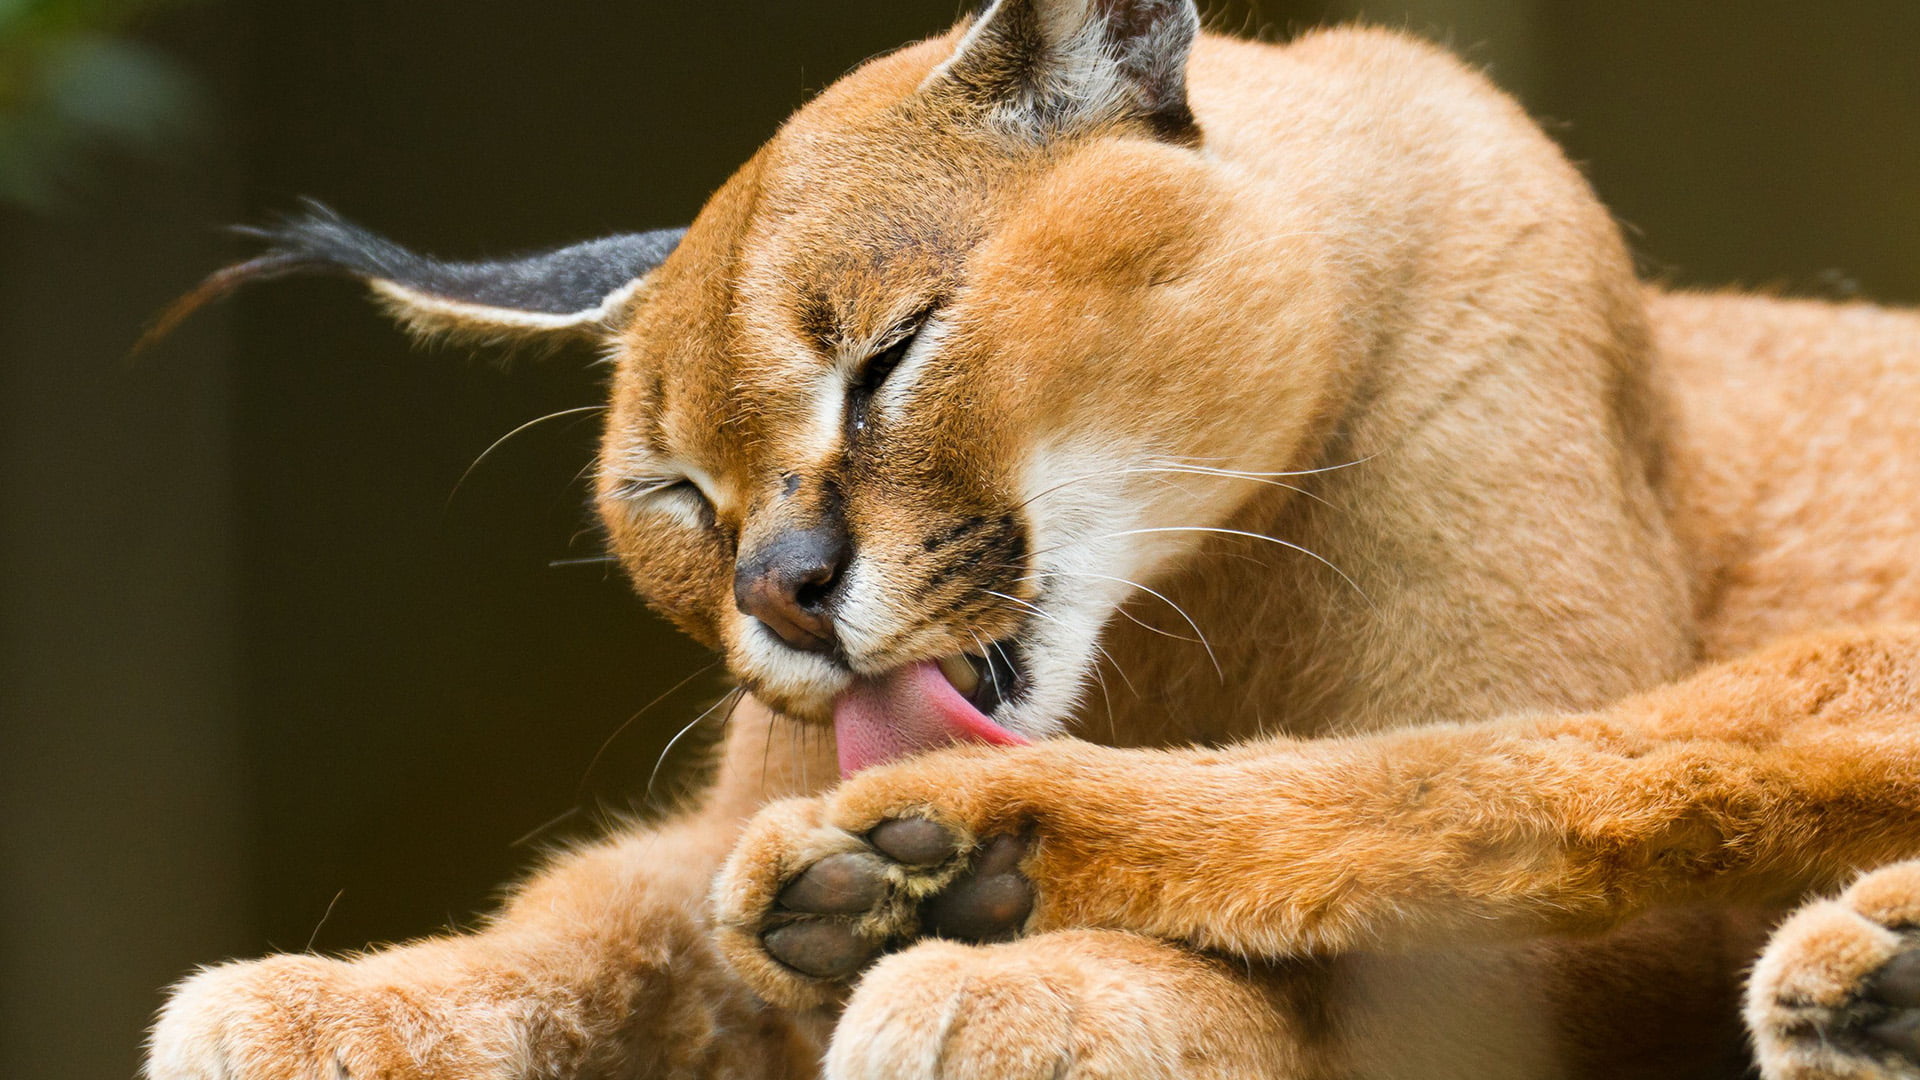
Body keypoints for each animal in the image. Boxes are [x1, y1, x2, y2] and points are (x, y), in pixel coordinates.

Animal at [146, 1, 1920, 1078]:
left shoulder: (1576, 987)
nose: (779, 596)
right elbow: (608, 912)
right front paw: (347, 1004)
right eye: (674, 496)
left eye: (889, 354)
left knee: (1526, 779)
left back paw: (946, 871)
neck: (1192, 595)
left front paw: (1043, 983)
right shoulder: (715, 823)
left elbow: (1381, 924)